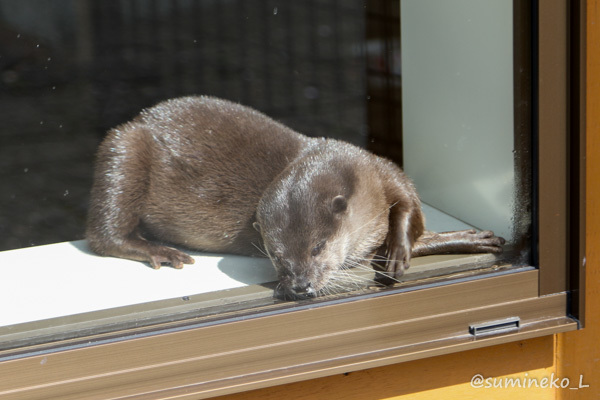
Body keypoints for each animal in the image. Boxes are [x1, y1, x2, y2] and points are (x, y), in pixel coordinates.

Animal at [86, 95, 504, 298]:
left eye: (318, 247)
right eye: (275, 255)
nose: (300, 285)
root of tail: (139, 120)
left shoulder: (383, 171)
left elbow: (409, 208)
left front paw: (403, 251)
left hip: (125, 147)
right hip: (123, 150)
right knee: (103, 236)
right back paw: (158, 250)